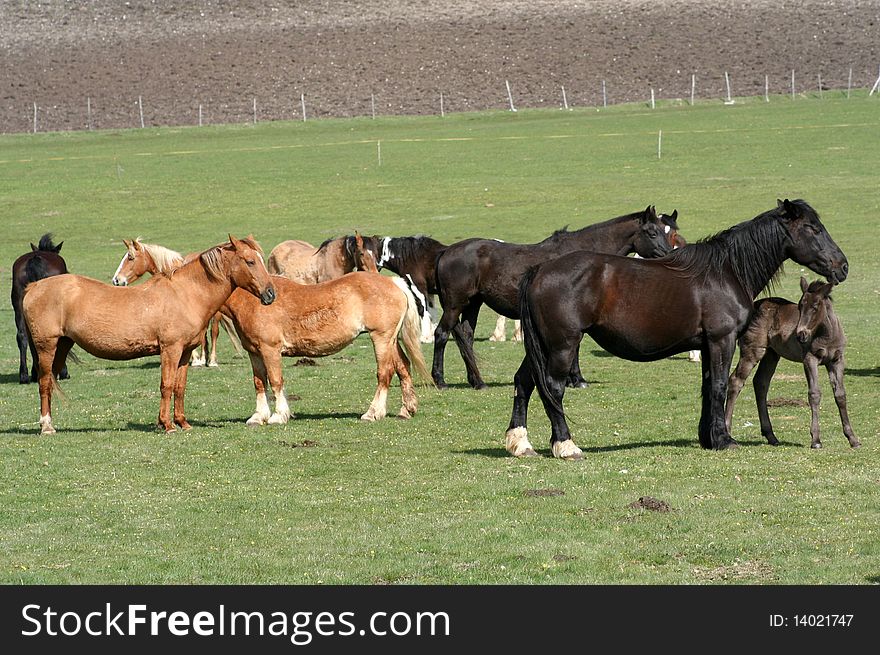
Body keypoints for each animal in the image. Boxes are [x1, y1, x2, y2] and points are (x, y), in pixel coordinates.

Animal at [24, 236, 276, 436]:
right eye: (250, 261)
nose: (270, 294)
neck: (185, 294)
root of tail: (33, 287)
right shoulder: (170, 349)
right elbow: (166, 385)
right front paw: (167, 425)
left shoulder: (185, 352)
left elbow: (179, 387)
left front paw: (182, 422)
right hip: (47, 347)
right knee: (44, 383)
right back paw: (46, 427)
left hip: (63, 346)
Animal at [434, 206, 672, 390]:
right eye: (652, 233)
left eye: (664, 231)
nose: (669, 255)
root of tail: (446, 252)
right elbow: (575, 347)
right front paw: (576, 379)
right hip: (454, 305)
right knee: (442, 334)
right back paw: (440, 380)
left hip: (472, 304)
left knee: (466, 337)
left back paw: (478, 381)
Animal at [508, 200, 844, 462]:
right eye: (813, 228)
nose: (843, 266)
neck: (725, 272)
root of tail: (539, 270)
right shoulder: (722, 340)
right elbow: (720, 386)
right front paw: (724, 439)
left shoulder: (708, 345)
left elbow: (708, 387)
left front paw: (709, 438)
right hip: (562, 345)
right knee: (552, 388)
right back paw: (566, 445)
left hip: (543, 346)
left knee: (524, 382)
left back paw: (520, 443)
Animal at [720, 276, 860, 452]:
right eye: (800, 306)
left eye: (815, 307)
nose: (801, 335)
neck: (826, 335)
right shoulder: (810, 359)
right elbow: (814, 394)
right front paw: (816, 439)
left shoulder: (837, 361)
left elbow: (840, 395)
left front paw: (853, 439)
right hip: (754, 350)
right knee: (736, 381)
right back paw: (727, 429)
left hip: (771, 355)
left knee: (761, 383)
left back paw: (771, 436)